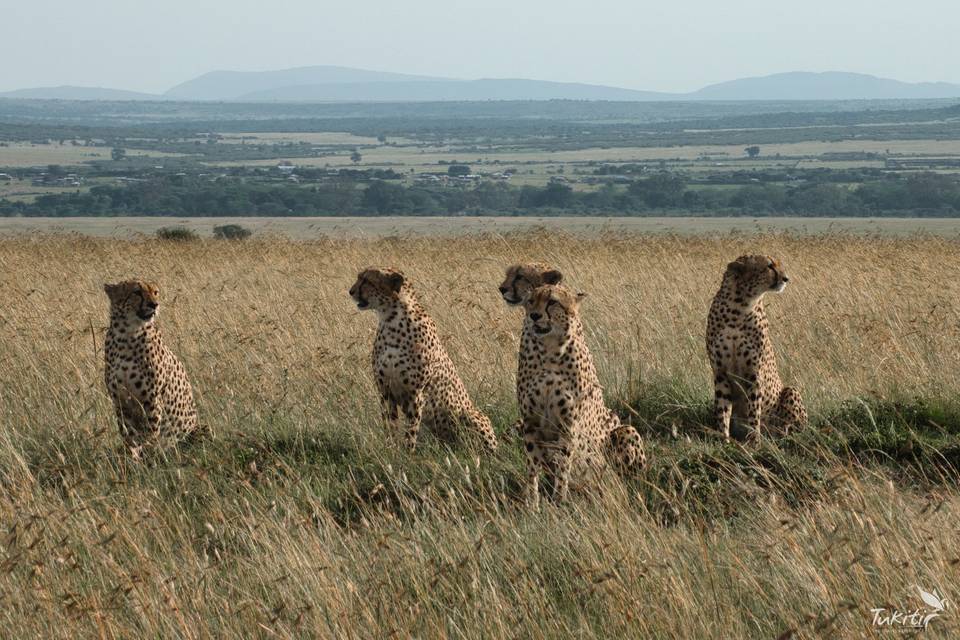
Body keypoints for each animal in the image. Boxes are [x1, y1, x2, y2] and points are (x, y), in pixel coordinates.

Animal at [102, 278, 201, 456]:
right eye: (136, 292)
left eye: (155, 292)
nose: (154, 304)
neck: (126, 335)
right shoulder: (121, 401)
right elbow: (128, 435)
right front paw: (132, 456)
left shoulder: (151, 399)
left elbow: (151, 433)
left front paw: (148, 454)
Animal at [348, 268, 498, 452]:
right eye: (359, 278)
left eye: (367, 281)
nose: (351, 291)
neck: (391, 320)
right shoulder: (386, 392)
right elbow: (390, 427)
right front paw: (391, 451)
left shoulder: (416, 394)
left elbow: (410, 431)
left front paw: (407, 455)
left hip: (470, 415)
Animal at [516, 284, 644, 504]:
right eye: (531, 301)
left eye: (552, 302)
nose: (534, 316)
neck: (549, 349)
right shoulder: (530, 421)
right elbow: (532, 465)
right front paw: (532, 502)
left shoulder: (569, 423)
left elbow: (564, 463)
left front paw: (559, 500)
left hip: (624, 430)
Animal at [708, 254, 808, 440]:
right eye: (769, 266)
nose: (786, 278)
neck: (738, 307)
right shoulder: (720, 373)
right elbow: (722, 410)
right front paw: (723, 440)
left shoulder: (754, 374)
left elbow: (754, 411)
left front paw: (754, 442)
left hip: (790, 392)